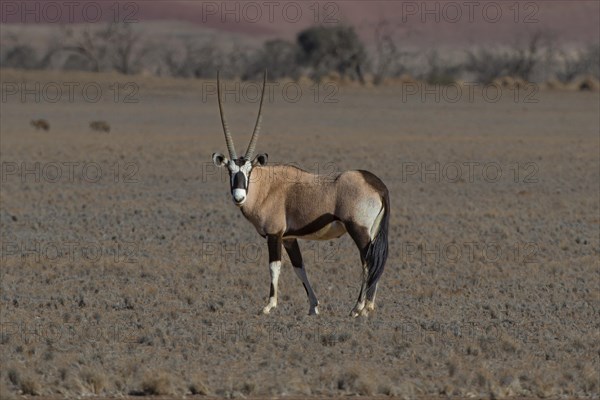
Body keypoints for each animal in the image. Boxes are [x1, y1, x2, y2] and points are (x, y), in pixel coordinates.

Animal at [211, 70, 390, 318]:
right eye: (230, 170)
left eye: (249, 170)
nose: (239, 197)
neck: (266, 187)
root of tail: (376, 184)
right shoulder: (289, 238)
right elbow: (299, 268)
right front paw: (314, 307)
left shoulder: (275, 235)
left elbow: (274, 267)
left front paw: (269, 306)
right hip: (371, 232)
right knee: (376, 261)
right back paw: (367, 306)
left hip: (359, 231)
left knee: (368, 262)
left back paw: (359, 308)